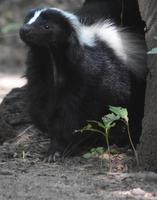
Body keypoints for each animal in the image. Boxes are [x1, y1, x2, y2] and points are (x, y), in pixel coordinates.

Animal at [19, 1, 147, 159]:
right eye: (27, 20)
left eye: (46, 26)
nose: (24, 29)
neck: (53, 59)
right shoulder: (40, 74)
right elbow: (40, 104)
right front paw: (48, 131)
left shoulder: (90, 76)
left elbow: (73, 114)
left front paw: (59, 148)